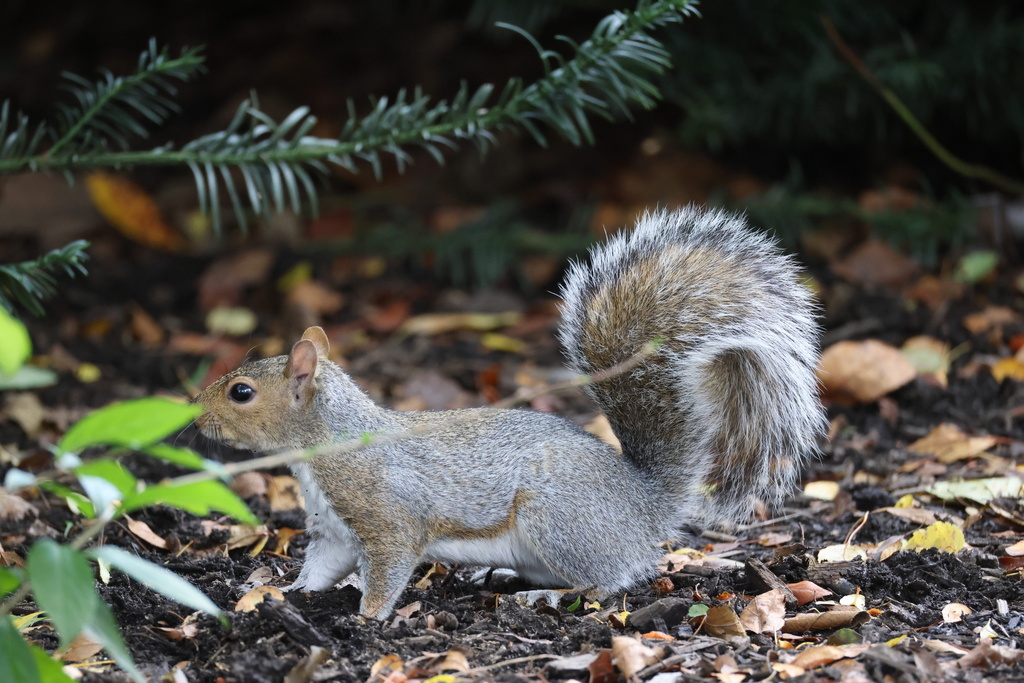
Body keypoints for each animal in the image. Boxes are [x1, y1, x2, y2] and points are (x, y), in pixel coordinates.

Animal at [194, 206, 825, 620]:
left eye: (242, 392)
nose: (195, 421)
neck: (326, 447)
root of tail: (644, 505)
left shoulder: (387, 517)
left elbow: (388, 569)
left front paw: (365, 620)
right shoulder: (335, 529)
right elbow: (321, 567)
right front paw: (283, 595)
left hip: (560, 520)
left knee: (609, 582)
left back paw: (548, 595)